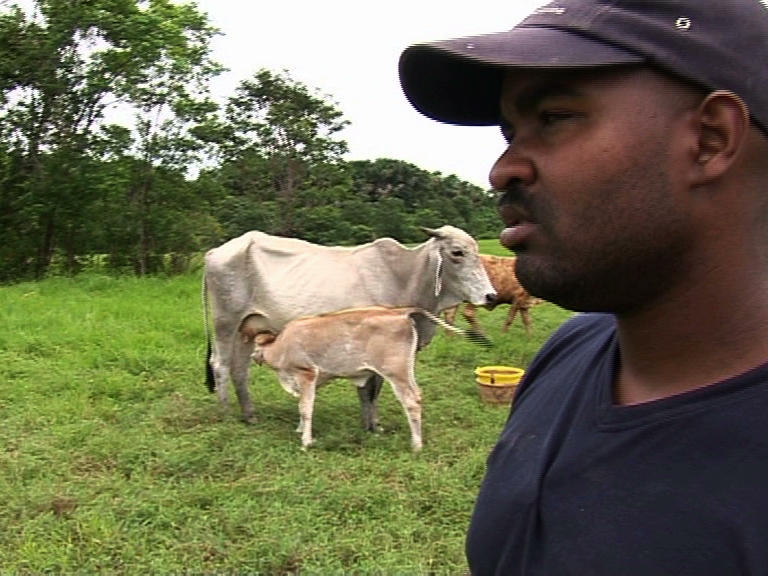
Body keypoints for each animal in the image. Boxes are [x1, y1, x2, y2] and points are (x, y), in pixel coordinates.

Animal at [201, 225, 496, 428]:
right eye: (457, 253)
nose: (491, 297)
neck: (403, 276)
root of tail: (215, 252)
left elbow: (375, 386)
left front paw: (372, 423)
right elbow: (369, 387)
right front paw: (370, 426)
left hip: (246, 328)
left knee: (240, 369)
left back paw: (249, 415)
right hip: (225, 321)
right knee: (221, 365)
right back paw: (226, 414)